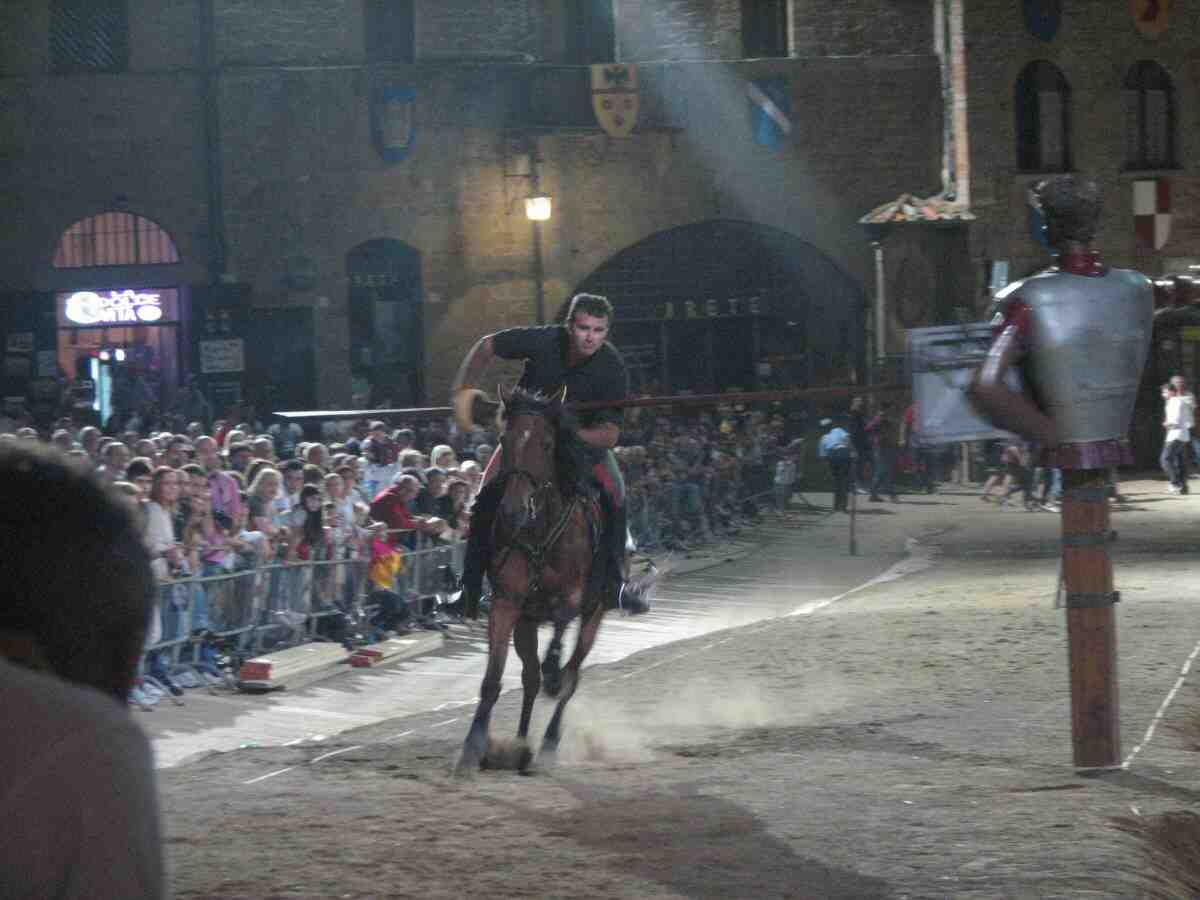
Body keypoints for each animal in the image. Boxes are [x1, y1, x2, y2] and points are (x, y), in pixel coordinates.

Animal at [456, 386, 614, 777]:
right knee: (530, 679)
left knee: (571, 677)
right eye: (504, 439)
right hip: (525, 624)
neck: (542, 530)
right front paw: (472, 748)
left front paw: (554, 665)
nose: (512, 511)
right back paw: (520, 746)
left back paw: (548, 743)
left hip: (594, 615)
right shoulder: (506, 604)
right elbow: (492, 680)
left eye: (546, 444)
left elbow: (561, 630)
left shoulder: (574, 598)